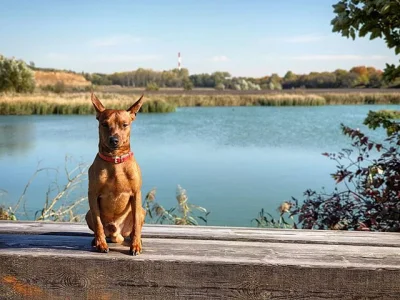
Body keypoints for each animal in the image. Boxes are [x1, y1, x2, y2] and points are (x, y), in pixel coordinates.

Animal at [86, 93, 147, 255]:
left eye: (125, 124)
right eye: (104, 124)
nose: (114, 140)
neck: (115, 162)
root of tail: (116, 234)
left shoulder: (136, 194)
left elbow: (136, 224)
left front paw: (135, 245)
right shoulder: (92, 195)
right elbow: (98, 223)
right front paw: (101, 244)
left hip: (142, 210)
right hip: (88, 214)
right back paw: (96, 240)